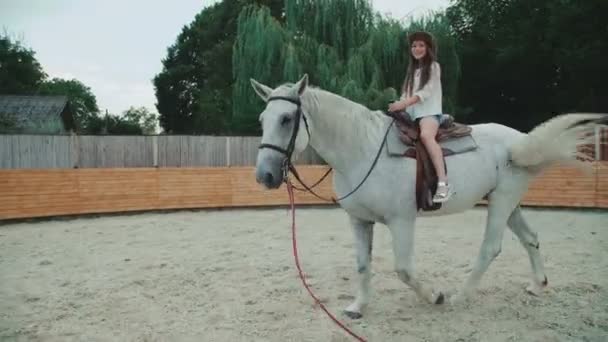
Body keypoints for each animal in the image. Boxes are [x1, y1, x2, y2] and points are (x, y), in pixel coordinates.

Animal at [251, 74, 604, 318]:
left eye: (286, 119)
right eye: (262, 120)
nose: (264, 175)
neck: (362, 150)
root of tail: (519, 141)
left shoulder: (401, 221)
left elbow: (404, 269)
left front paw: (435, 297)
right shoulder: (360, 221)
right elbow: (363, 265)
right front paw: (358, 307)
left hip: (502, 202)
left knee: (490, 248)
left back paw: (460, 297)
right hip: (510, 204)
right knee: (530, 238)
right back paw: (536, 285)